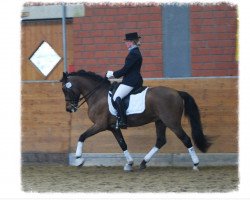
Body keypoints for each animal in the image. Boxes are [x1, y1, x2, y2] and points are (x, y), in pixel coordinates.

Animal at [60, 69, 211, 171]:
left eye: (65, 90)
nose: (69, 109)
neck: (98, 95)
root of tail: (177, 92)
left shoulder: (100, 125)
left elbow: (82, 136)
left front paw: (79, 160)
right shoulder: (112, 127)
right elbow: (123, 144)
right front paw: (129, 163)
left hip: (172, 122)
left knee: (186, 139)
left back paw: (195, 164)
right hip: (160, 122)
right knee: (160, 141)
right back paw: (143, 162)